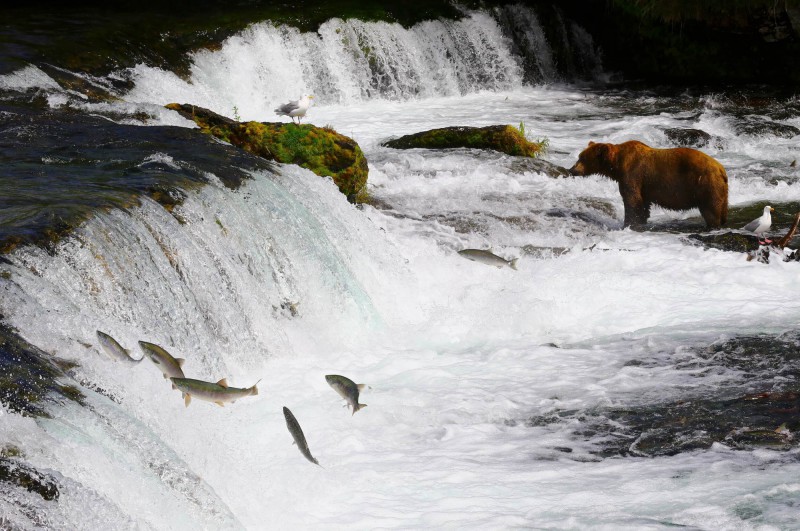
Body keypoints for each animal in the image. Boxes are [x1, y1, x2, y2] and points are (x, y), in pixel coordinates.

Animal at [568, 139, 732, 229]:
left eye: (582, 158)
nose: (571, 169)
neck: (617, 164)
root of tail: (721, 169)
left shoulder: (633, 175)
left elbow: (632, 201)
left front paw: (627, 224)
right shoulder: (644, 187)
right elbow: (643, 205)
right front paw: (640, 222)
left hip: (705, 185)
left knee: (711, 211)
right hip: (723, 191)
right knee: (722, 210)